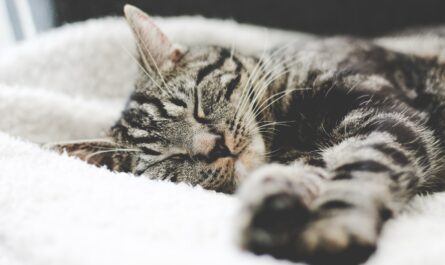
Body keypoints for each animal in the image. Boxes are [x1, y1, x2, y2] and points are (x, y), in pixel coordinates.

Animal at [54, 4, 444, 264]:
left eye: (196, 103)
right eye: (171, 158)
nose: (214, 147)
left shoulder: (386, 115)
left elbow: (363, 165)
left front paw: (331, 228)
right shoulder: (312, 153)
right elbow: (302, 173)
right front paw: (274, 206)